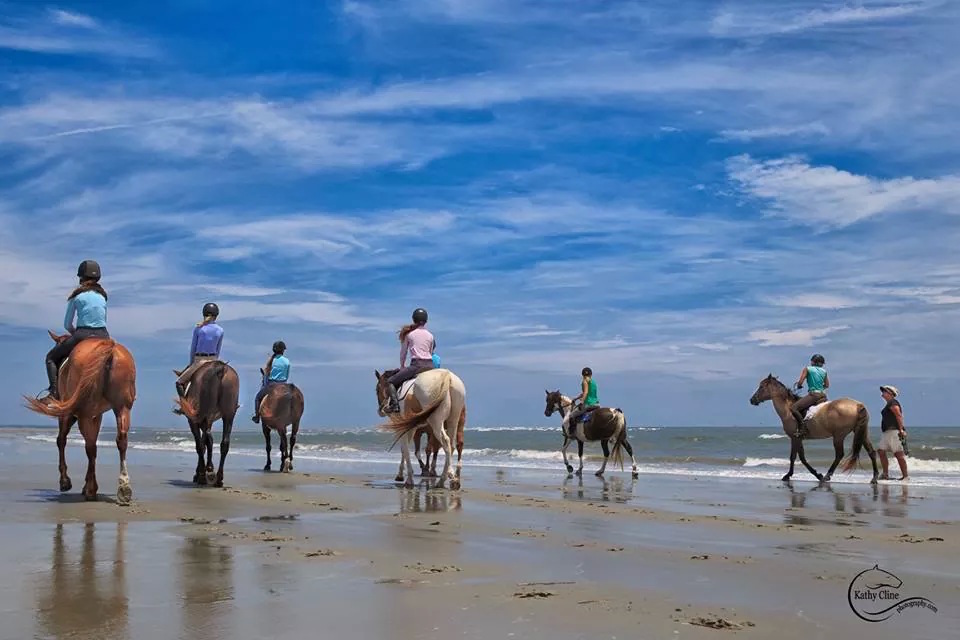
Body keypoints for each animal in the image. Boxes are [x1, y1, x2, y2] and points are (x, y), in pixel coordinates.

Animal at [24, 331, 136, 504]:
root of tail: (110, 350)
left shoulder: (67, 414)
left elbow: (61, 441)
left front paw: (66, 482)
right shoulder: (96, 415)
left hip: (83, 412)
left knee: (89, 447)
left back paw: (91, 490)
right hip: (122, 407)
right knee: (120, 440)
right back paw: (123, 488)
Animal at [749, 374, 878, 484]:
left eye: (761, 386)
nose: (752, 400)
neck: (788, 410)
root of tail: (858, 405)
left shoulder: (795, 438)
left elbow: (797, 457)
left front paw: (812, 475)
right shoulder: (797, 438)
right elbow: (798, 457)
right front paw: (795, 475)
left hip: (839, 436)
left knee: (839, 455)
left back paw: (827, 476)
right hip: (861, 432)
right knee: (871, 452)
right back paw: (874, 478)